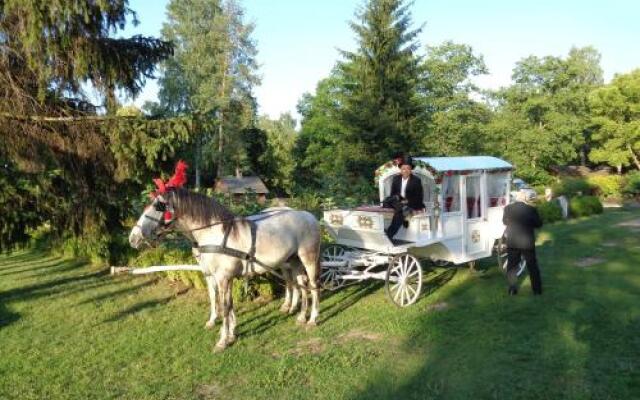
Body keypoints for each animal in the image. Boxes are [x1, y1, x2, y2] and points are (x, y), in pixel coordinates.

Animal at [129, 189, 322, 352]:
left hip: (308, 258)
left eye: (157, 207)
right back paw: (301, 315)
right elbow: (225, 303)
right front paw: (230, 334)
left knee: (313, 285)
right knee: (300, 284)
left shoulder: (223, 277)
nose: (133, 238)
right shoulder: (218, 277)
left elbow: (224, 305)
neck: (214, 234)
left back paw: (312, 318)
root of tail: (309, 216)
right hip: (293, 261)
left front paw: (222, 340)